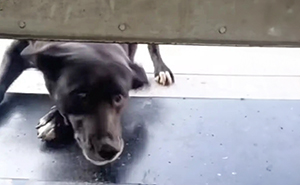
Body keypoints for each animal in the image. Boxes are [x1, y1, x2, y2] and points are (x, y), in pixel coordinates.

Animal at [0, 40, 173, 165]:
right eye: (81, 95)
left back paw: (161, 69)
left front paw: (54, 120)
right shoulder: (18, 48)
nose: (109, 150)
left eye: (119, 97)